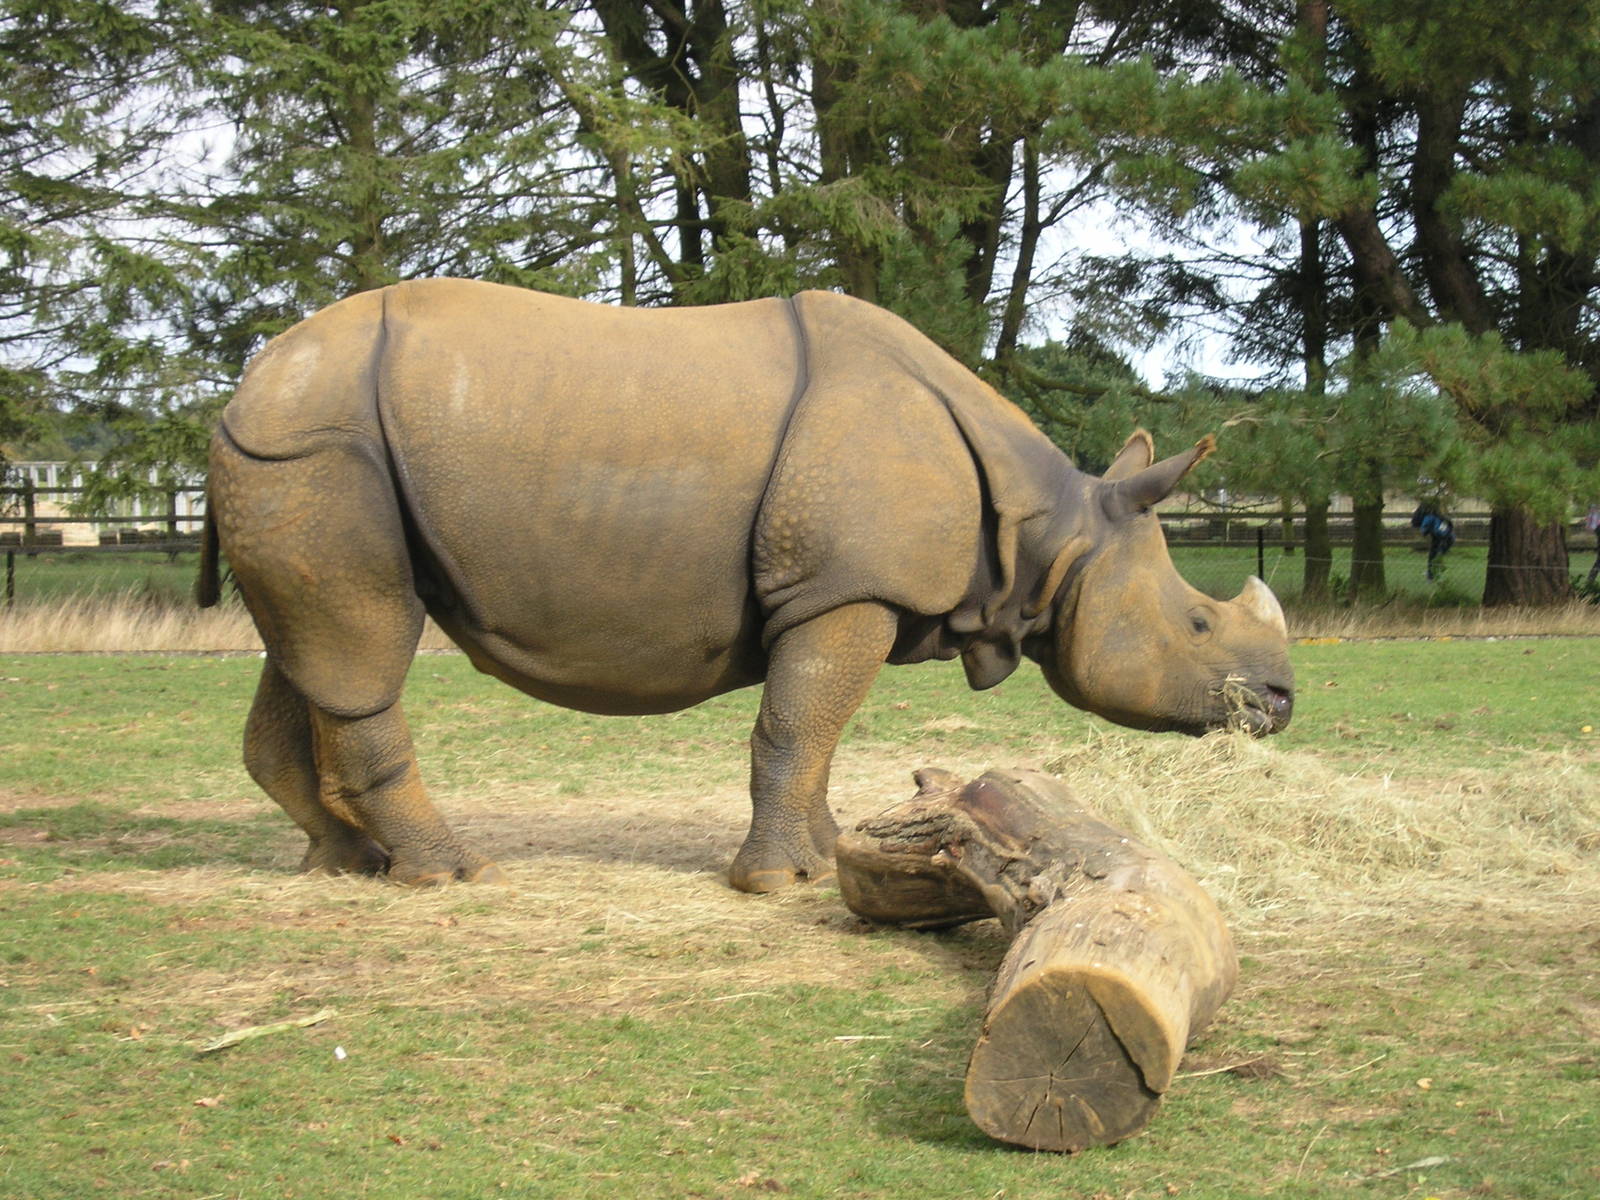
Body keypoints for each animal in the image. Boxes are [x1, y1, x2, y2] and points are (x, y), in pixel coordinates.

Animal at [198, 279, 1293, 891]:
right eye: (1197, 624)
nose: (1282, 703)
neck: (1051, 534)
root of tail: (244, 385)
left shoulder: (839, 593)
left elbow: (816, 735)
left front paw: (828, 853)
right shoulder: (845, 586)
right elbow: (794, 727)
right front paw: (774, 882)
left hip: (294, 455)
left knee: (311, 653)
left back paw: (345, 865)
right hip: (320, 449)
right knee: (362, 648)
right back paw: (449, 876)